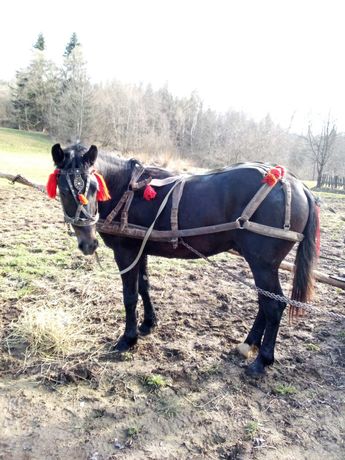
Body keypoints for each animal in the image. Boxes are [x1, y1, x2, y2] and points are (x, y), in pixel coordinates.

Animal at [48, 144, 318, 378]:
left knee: (274, 305)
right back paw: (249, 343)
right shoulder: (140, 249)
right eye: (64, 190)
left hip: (263, 264)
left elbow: (130, 296)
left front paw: (128, 338)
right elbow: (144, 287)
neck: (126, 188)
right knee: (265, 302)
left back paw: (262, 360)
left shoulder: (125, 251)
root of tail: (299, 186)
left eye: (94, 187)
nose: (88, 244)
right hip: (259, 264)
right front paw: (148, 323)